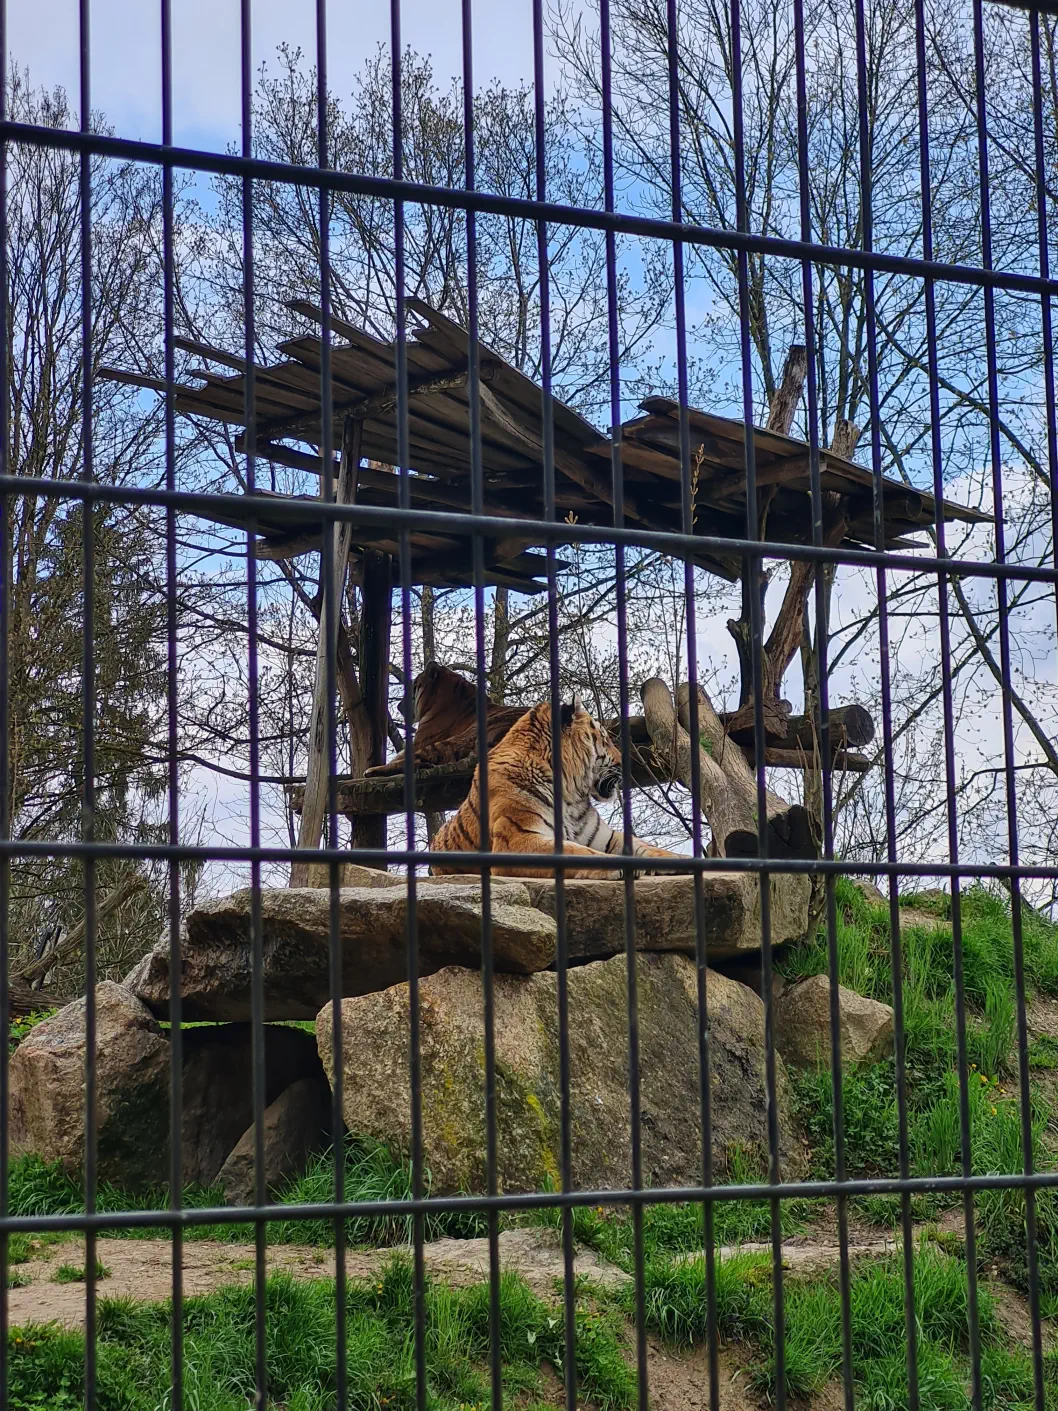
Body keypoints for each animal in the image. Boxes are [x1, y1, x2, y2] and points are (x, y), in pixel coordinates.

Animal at [430, 694, 682, 878]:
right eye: (605, 739)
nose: (626, 763)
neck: (572, 796)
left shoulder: (605, 837)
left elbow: (644, 846)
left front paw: (678, 859)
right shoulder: (517, 840)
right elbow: (579, 852)